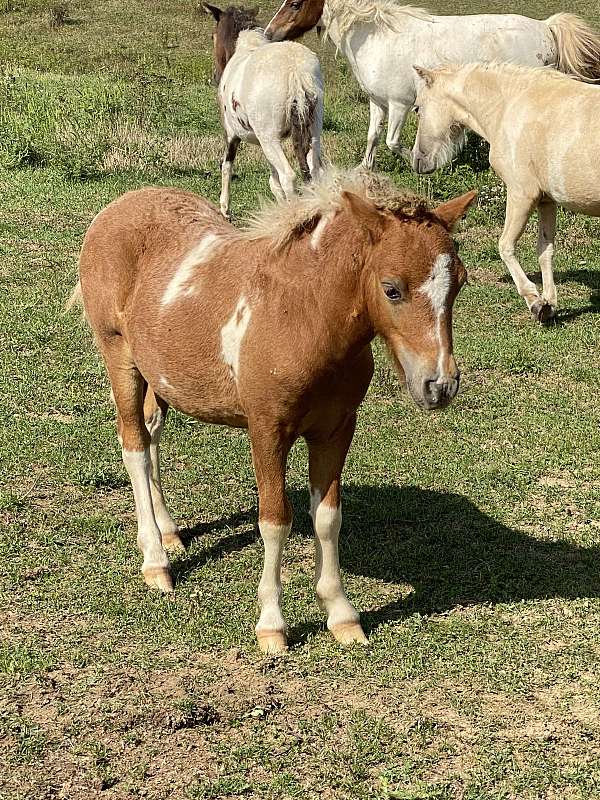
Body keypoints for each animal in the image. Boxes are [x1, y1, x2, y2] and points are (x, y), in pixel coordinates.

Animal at [70, 172, 476, 652]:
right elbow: (275, 519)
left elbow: (328, 517)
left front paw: (342, 616)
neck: (301, 317)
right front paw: (272, 625)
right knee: (133, 445)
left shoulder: (336, 430)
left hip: (160, 376)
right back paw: (156, 561)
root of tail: (114, 209)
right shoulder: (267, 430)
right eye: (391, 288)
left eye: (459, 283)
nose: (439, 385)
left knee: (151, 438)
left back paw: (170, 534)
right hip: (121, 360)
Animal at [204, 3, 324, 217]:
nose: (215, 76)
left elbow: (227, 165)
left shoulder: (231, 133)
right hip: (313, 131)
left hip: (270, 138)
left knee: (288, 176)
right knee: (315, 171)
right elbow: (273, 181)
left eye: (213, 36)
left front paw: (224, 208)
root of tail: (296, 73)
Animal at [264, 0, 600, 169]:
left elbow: (392, 142)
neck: (376, 37)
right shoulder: (378, 103)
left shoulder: (400, 105)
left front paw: (423, 162)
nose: (268, 33)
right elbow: (373, 137)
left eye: (295, 3)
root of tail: (546, 27)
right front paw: (364, 170)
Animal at [410, 63, 600, 322]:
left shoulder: (521, 195)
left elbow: (505, 246)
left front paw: (535, 301)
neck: (508, 105)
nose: (417, 161)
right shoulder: (546, 201)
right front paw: (548, 304)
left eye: (418, 108)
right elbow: (545, 250)